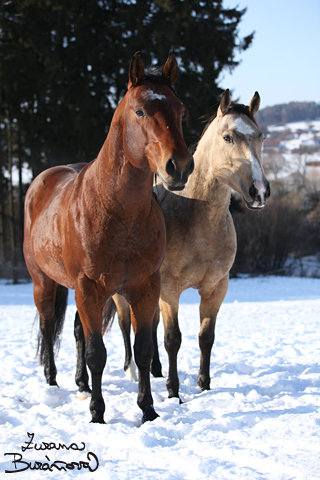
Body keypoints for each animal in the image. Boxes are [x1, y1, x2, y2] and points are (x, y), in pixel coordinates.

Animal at [23, 52, 194, 424]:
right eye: (140, 111)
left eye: (181, 109)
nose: (179, 167)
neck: (119, 214)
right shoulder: (88, 288)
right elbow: (96, 353)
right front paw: (98, 415)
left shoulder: (144, 289)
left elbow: (142, 350)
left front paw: (148, 410)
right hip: (45, 283)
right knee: (48, 328)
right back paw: (52, 382)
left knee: (75, 332)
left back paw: (82, 384)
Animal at [111, 89, 272, 398]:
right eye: (228, 137)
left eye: (261, 137)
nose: (259, 191)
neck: (199, 222)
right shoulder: (170, 290)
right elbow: (173, 339)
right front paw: (174, 393)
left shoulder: (216, 289)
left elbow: (205, 337)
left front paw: (204, 384)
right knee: (125, 325)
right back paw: (130, 372)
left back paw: (155, 370)